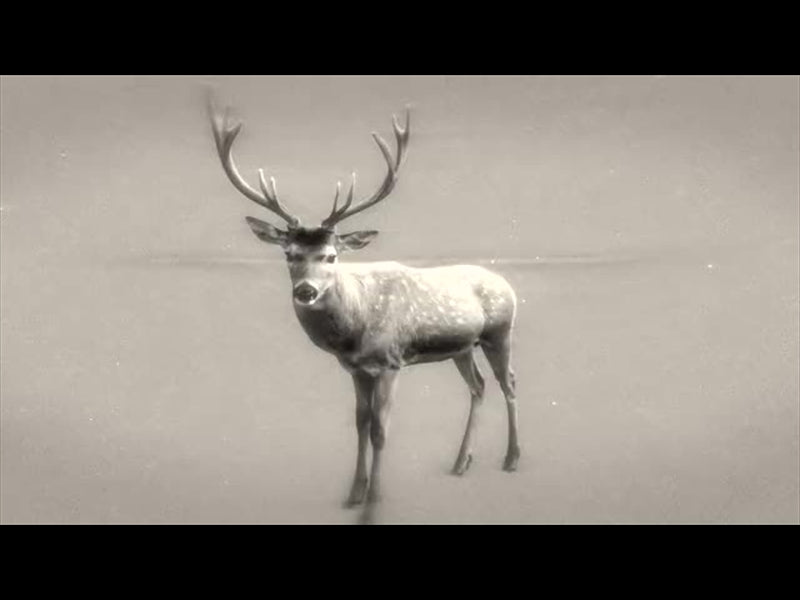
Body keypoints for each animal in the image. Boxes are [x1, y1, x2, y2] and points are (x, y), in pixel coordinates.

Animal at [208, 99, 520, 507]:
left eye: (331, 256)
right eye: (289, 254)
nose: (305, 291)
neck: (356, 330)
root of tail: (507, 283)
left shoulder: (390, 362)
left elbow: (380, 429)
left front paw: (375, 496)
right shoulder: (356, 369)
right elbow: (359, 424)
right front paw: (354, 492)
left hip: (500, 332)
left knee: (508, 382)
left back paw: (511, 459)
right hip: (462, 347)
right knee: (478, 386)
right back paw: (460, 463)